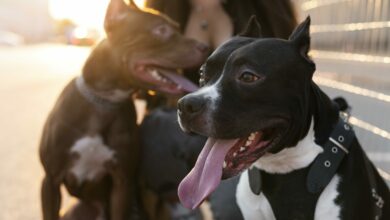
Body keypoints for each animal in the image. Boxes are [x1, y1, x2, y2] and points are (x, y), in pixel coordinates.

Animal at [39, 0, 209, 220]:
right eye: (161, 30)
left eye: (178, 28)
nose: (206, 47)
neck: (104, 102)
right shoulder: (50, 181)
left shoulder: (122, 183)